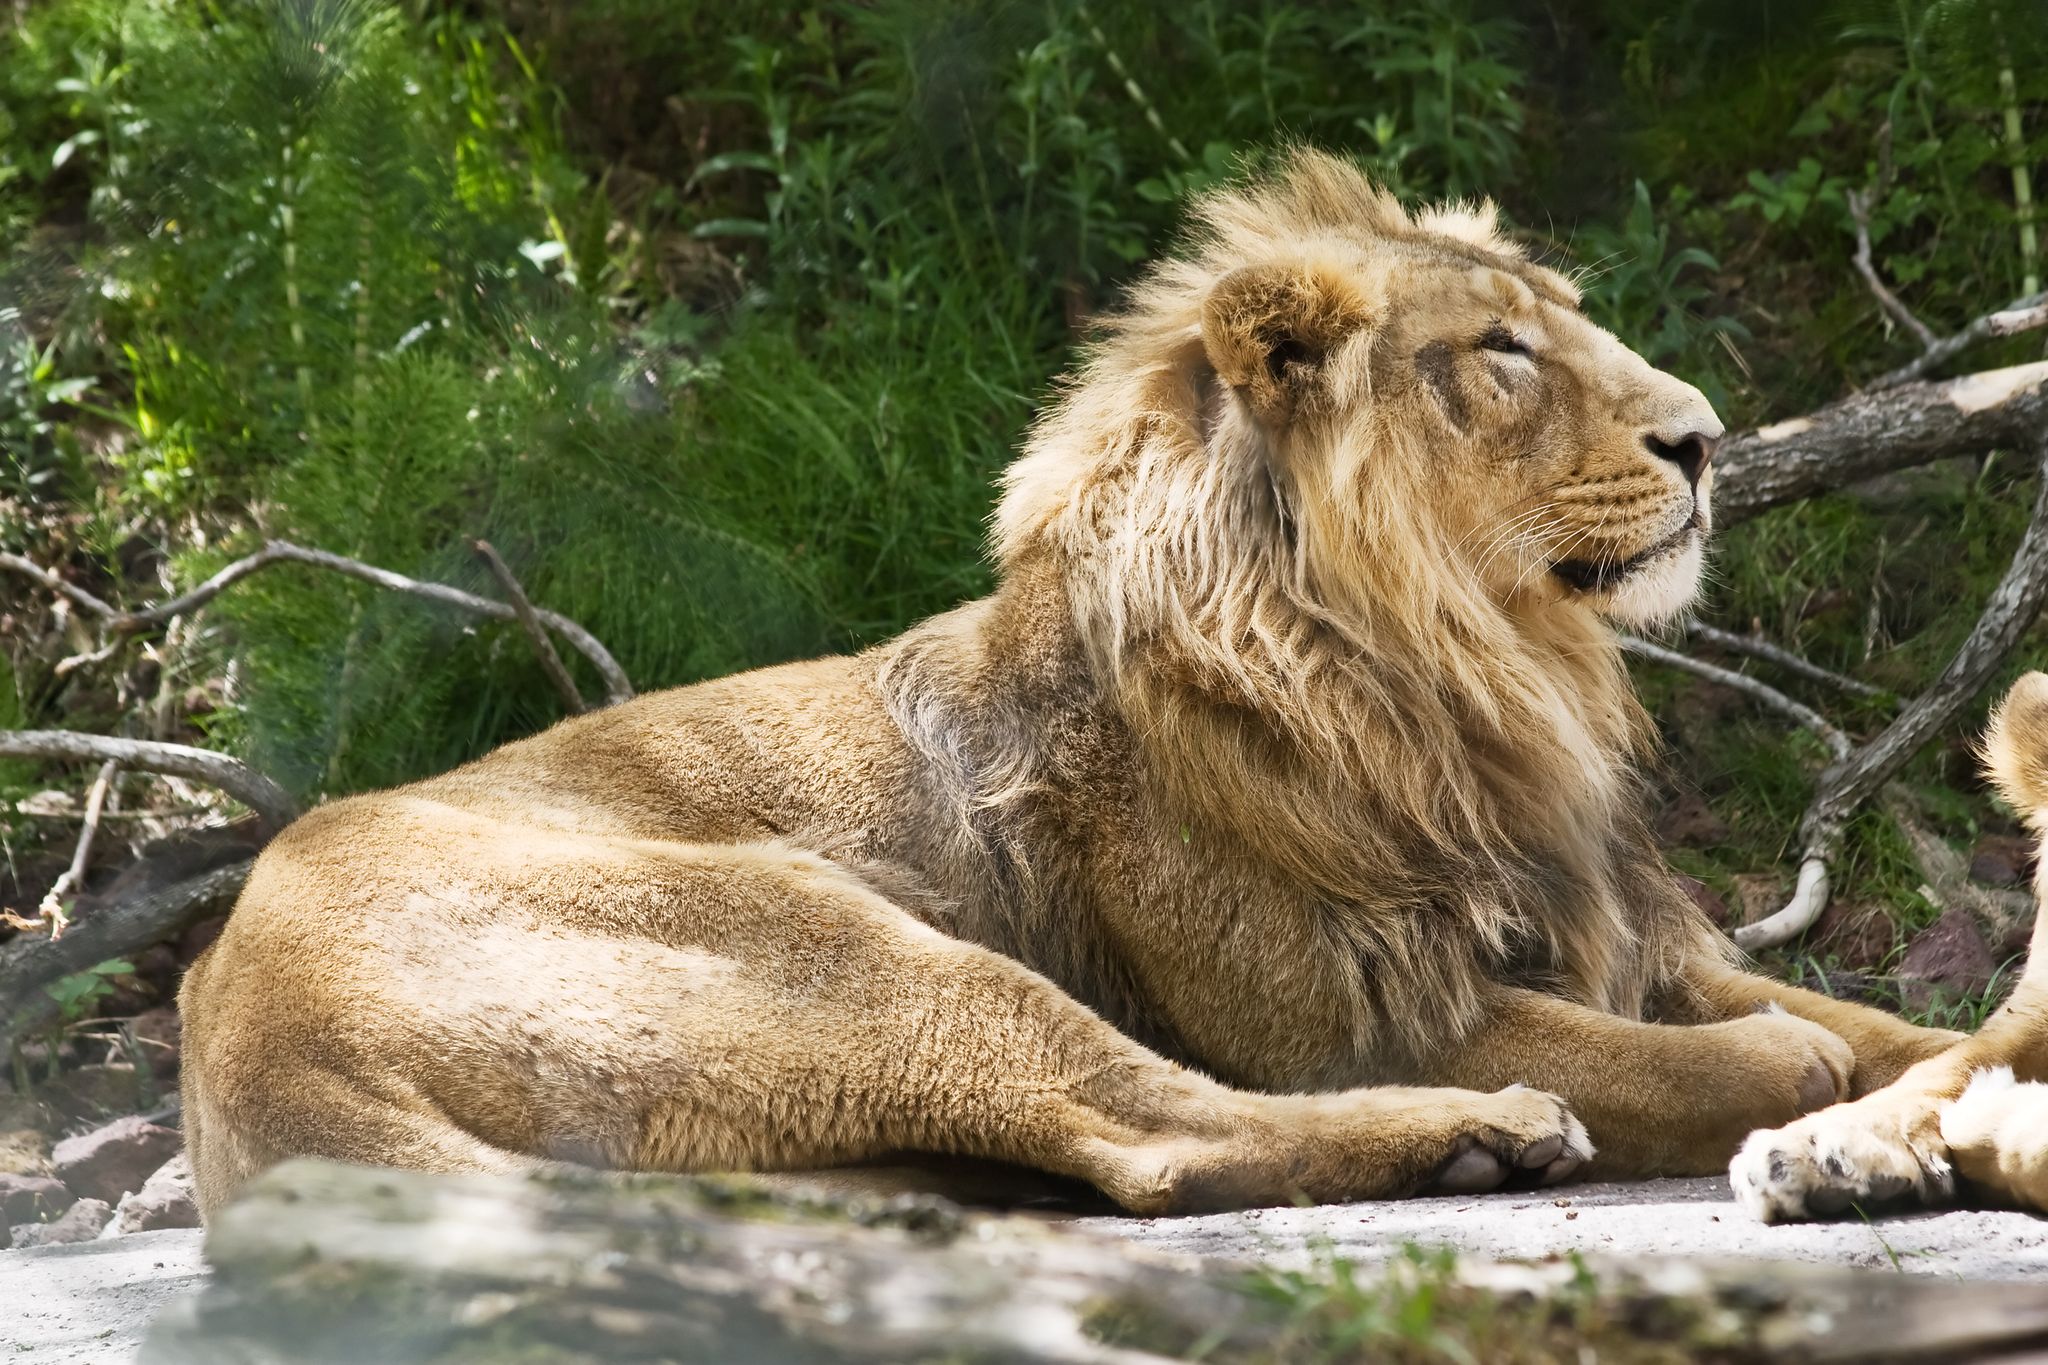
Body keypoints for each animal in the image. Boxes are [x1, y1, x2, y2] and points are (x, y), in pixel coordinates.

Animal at [178, 150, 1960, 1220]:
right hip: (833, 939)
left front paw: (1891, 1105)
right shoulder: (1326, 1009)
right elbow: (1670, 1054)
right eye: (1501, 353)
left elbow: (1895, 1027)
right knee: (1154, 1136)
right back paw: (1489, 1132)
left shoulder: (1632, 940)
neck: (1480, 668)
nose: (1707, 439)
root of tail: (240, 1021)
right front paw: (1780, 1085)